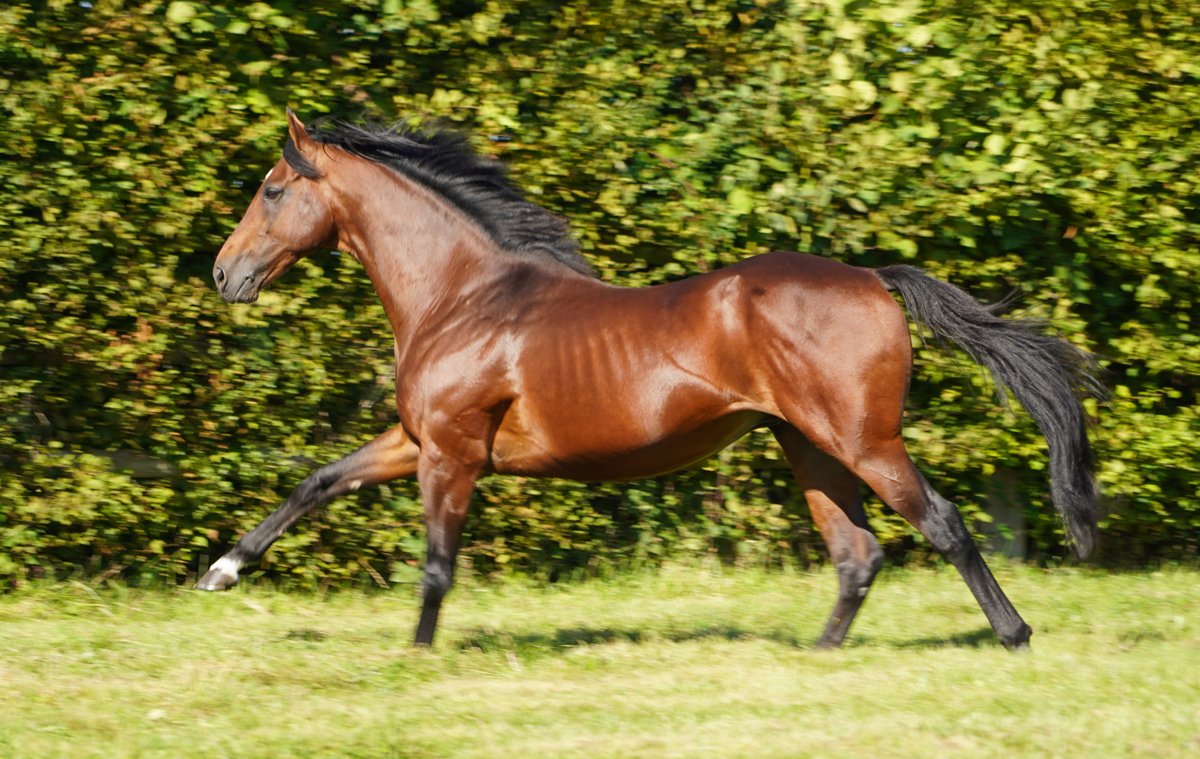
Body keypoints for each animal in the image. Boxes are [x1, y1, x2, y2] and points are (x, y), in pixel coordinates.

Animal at [198, 110, 1101, 650]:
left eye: (272, 189)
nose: (224, 274)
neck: (463, 294)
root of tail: (872, 278)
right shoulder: (416, 440)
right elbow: (318, 481)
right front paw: (221, 571)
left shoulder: (451, 453)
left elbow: (436, 562)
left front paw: (418, 654)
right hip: (809, 445)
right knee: (858, 552)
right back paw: (818, 655)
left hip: (863, 438)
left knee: (940, 523)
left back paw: (1015, 634)